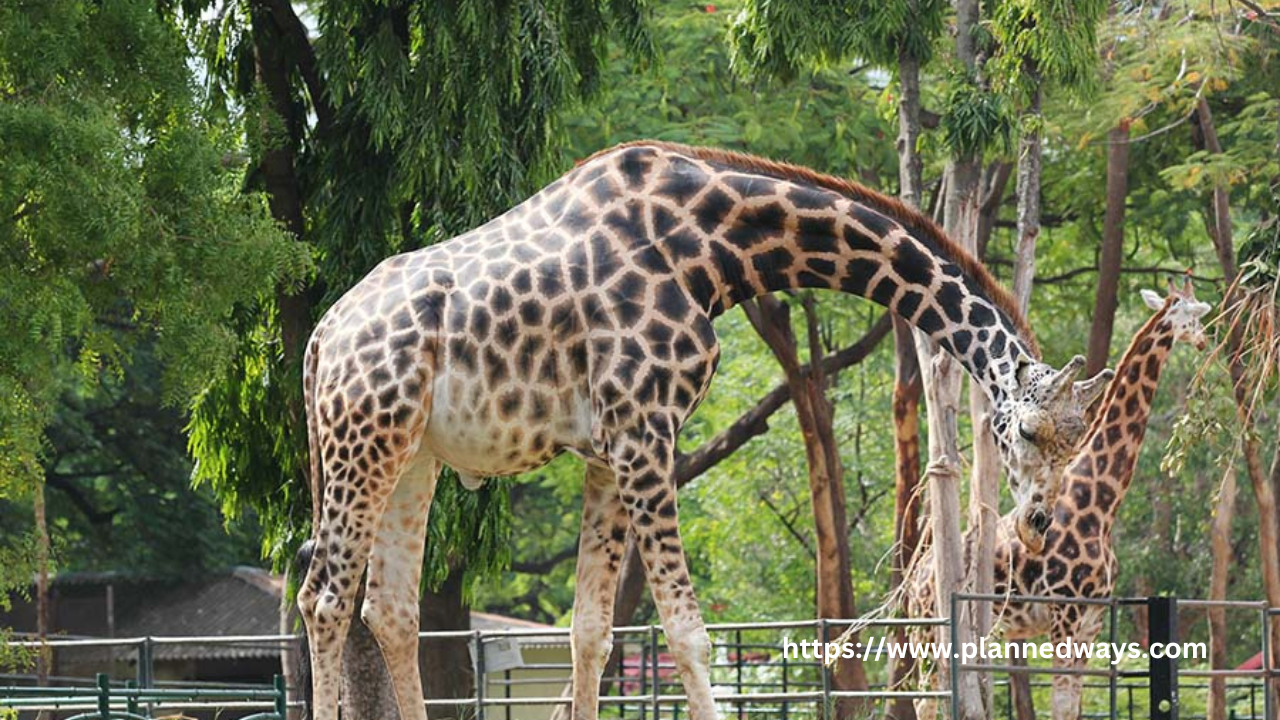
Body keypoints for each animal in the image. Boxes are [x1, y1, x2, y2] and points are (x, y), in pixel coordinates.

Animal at [293, 140, 1111, 717]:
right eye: (1028, 432)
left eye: (1077, 443)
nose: (1038, 525)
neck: (716, 251)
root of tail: (322, 339)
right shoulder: (644, 429)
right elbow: (686, 632)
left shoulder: (608, 449)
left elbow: (590, 629)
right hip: (362, 437)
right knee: (324, 598)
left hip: (414, 453)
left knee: (390, 607)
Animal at [901, 275, 1208, 717]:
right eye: (1192, 315)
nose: (1204, 339)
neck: (1102, 505)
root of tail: (914, 583)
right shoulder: (1065, 612)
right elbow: (1061, 706)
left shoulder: (1092, 620)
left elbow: (1074, 704)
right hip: (928, 632)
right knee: (927, 697)